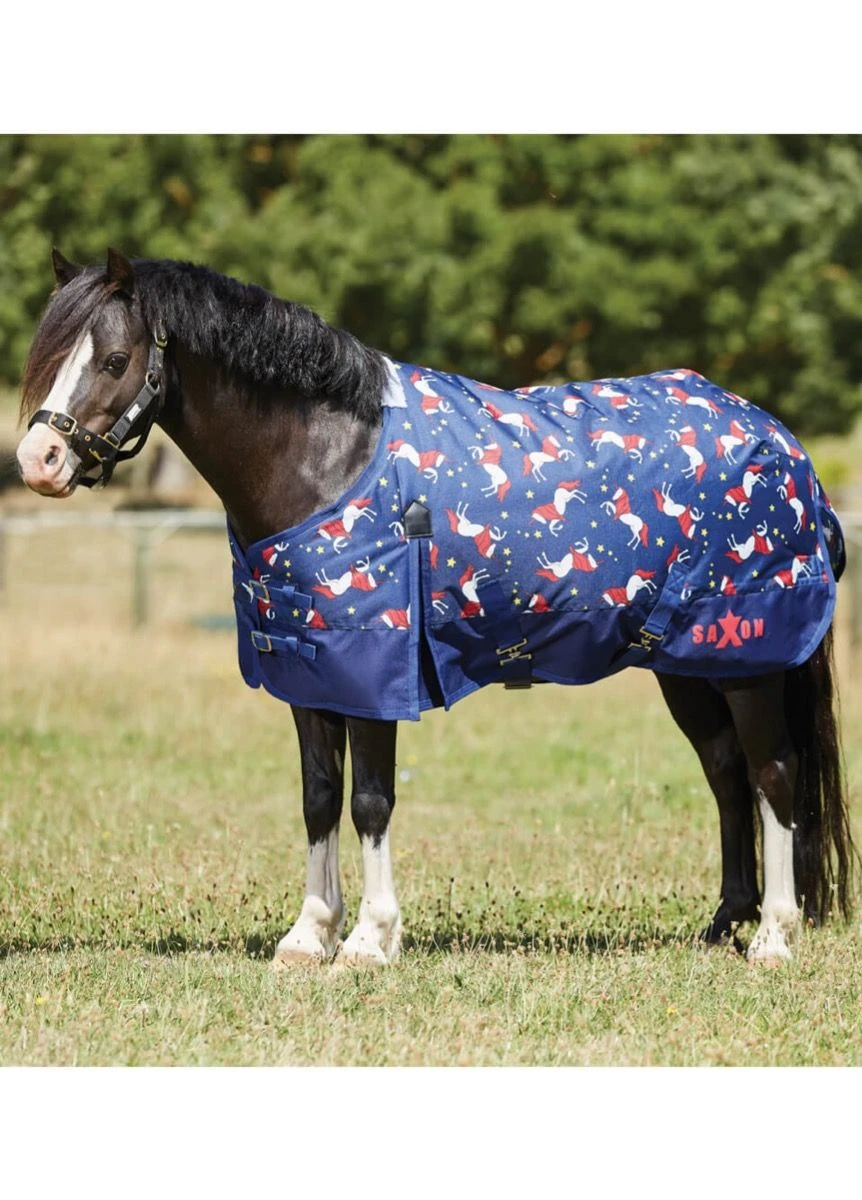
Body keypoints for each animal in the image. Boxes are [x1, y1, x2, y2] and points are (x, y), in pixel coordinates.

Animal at [15, 248, 856, 967]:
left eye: (114, 361)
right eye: (48, 359)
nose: (38, 461)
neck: (327, 458)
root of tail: (781, 442)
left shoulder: (374, 668)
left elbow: (370, 800)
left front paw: (368, 941)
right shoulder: (309, 668)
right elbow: (319, 798)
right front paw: (309, 935)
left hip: (748, 657)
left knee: (773, 773)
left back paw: (773, 936)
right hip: (687, 664)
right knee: (726, 773)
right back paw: (724, 924)